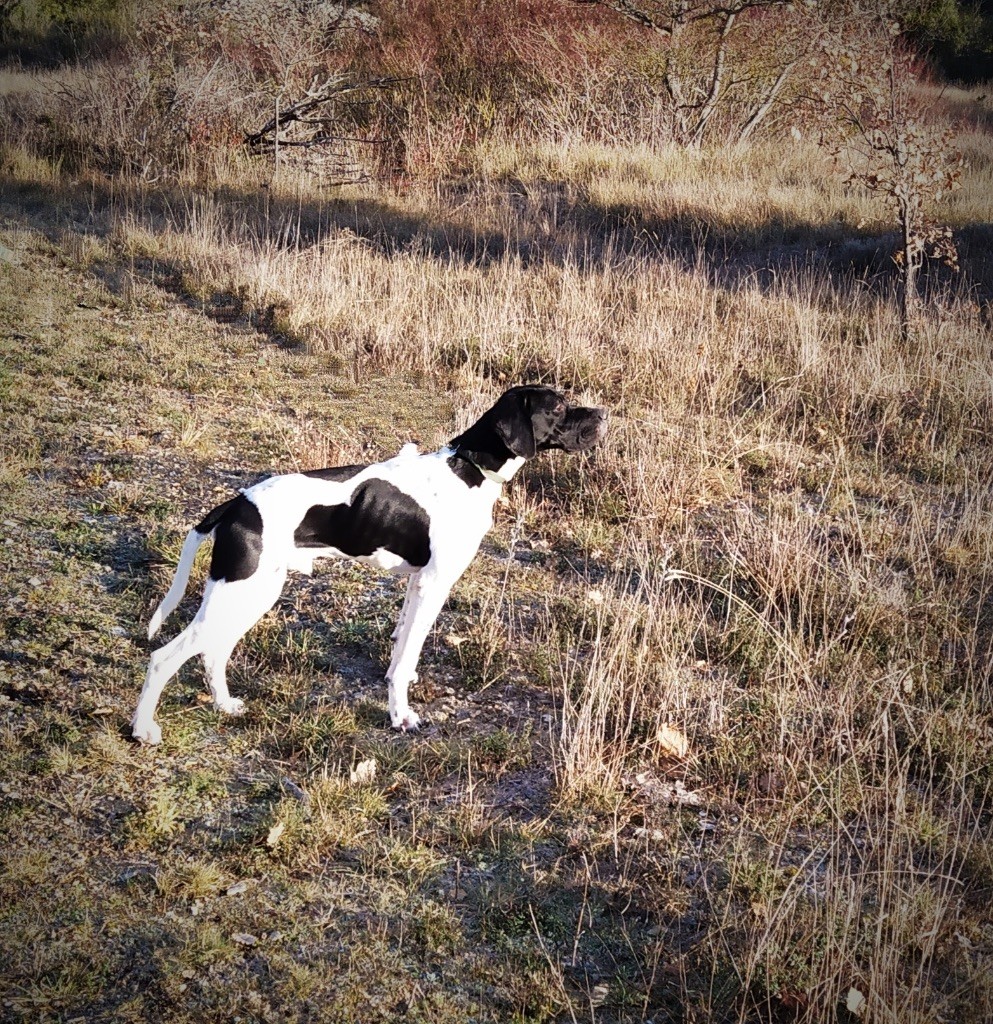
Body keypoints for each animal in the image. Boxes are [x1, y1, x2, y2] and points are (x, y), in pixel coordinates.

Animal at [130, 385, 601, 745]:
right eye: (557, 407)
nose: (604, 414)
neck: (469, 468)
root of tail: (236, 504)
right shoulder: (435, 585)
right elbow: (407, 656)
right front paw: (401, 716)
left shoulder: (416, 585)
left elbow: (401, 652)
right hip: (241, 592)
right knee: (164, 657)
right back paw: (142, 729)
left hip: (249, 596)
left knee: (213, 653)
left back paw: (225, 705)